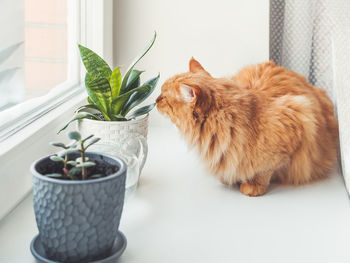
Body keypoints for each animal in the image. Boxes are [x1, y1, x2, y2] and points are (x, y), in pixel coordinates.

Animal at [157, 58, 338, 197]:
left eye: (164, 97)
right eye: (160, 94)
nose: (155, 100)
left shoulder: (296, 116)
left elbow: (264, 171)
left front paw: (253, 185)